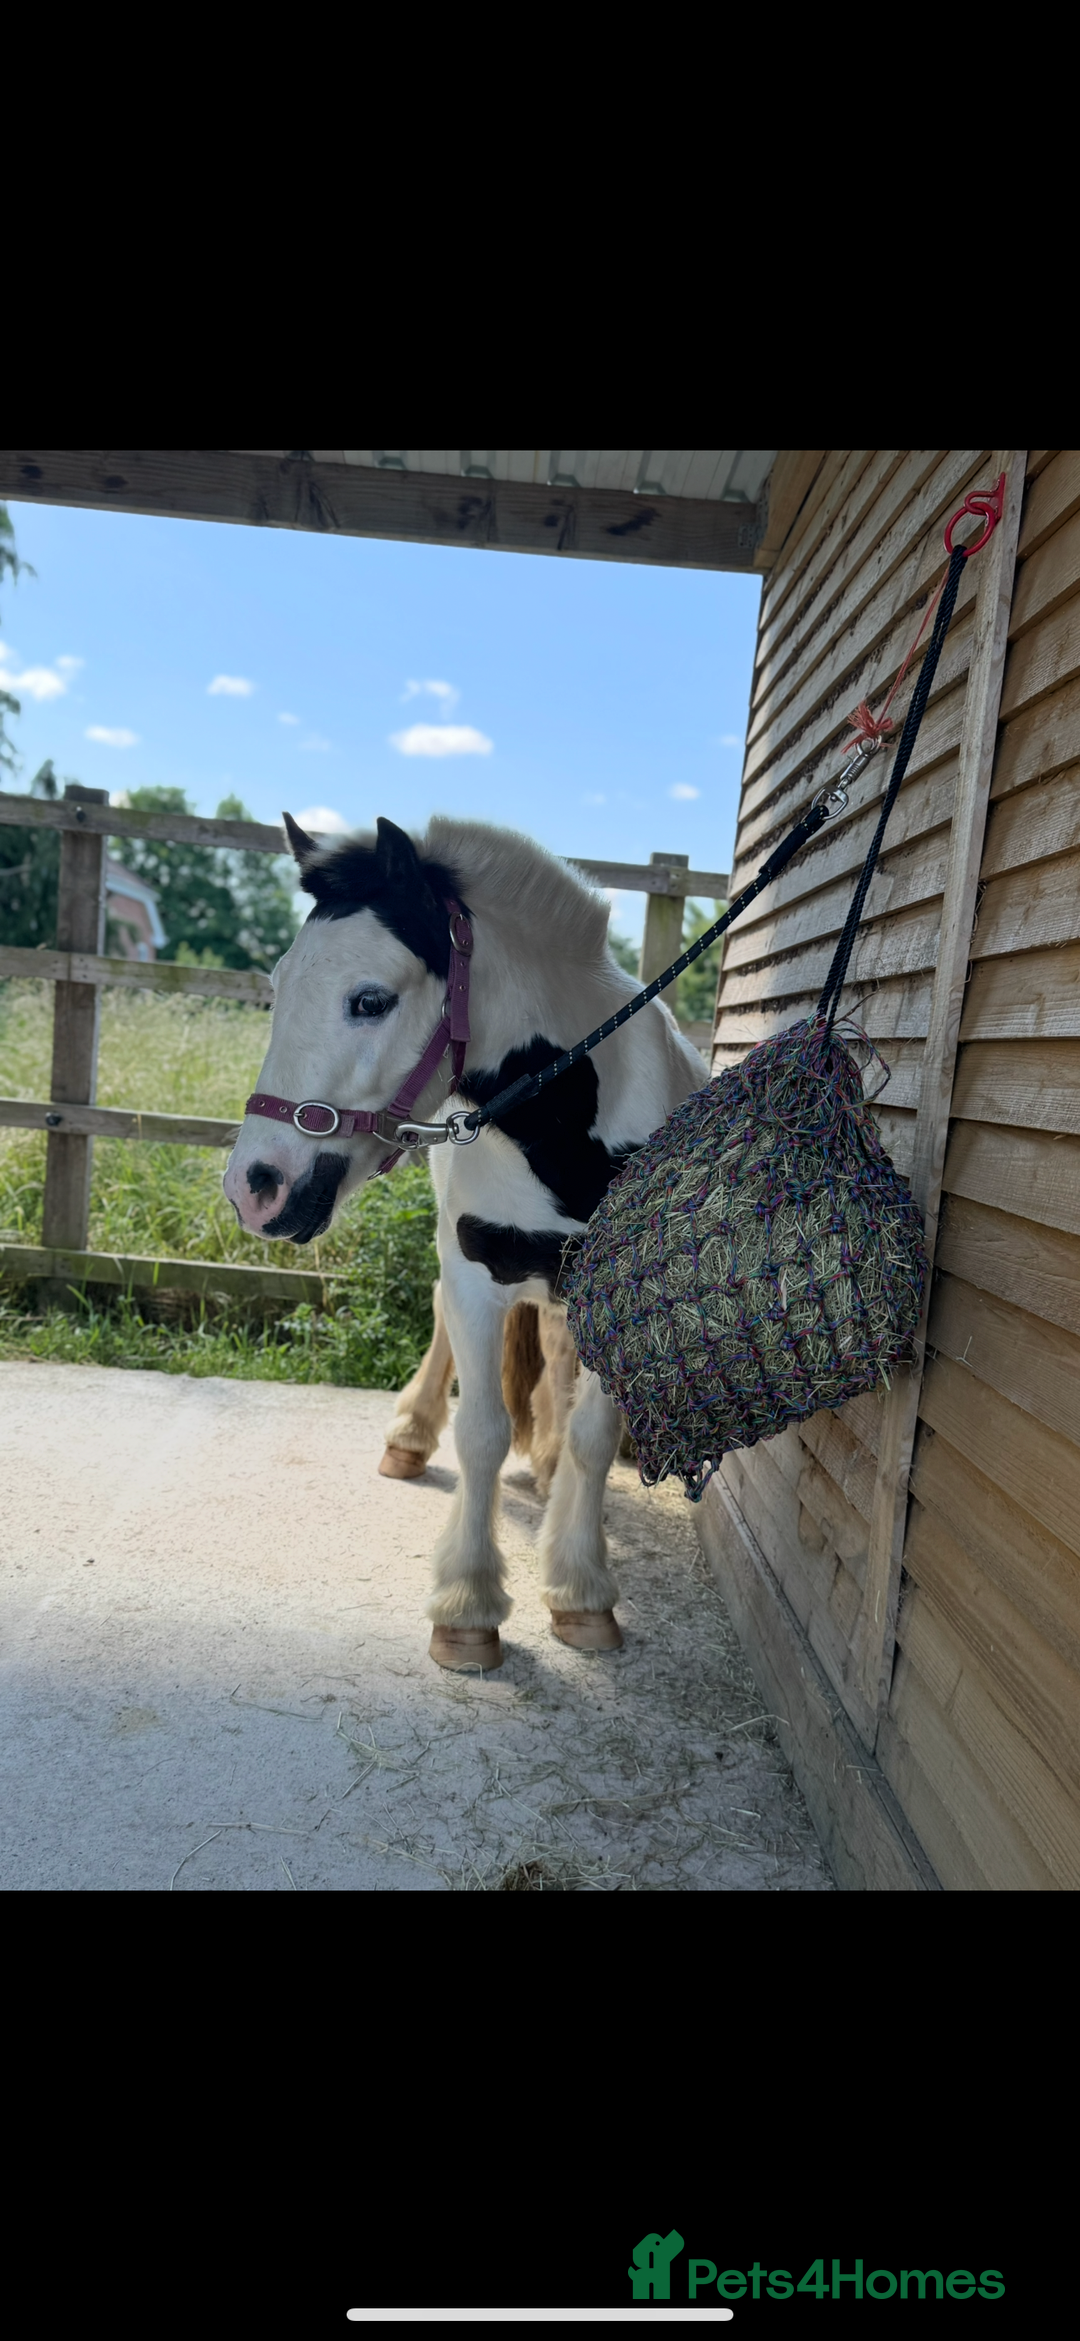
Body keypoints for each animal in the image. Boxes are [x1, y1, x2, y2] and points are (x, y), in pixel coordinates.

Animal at [223, 813, 706, 1671]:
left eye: (370, 999)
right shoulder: (477, 1274)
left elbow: (592, 1436)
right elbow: (480, 1431)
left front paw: (581, 1590)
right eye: (279, 987)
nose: (255, 1186)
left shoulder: (614, 1288)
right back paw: (411, 1437)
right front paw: (468, 1607)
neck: (567, 1139)